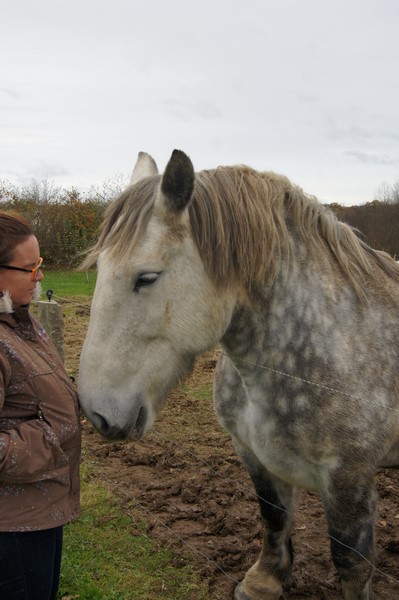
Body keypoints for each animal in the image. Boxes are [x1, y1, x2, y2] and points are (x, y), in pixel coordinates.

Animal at [77, 148, 399, 596]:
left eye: (147, 277)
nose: (96, 413)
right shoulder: (251, 453)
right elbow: (273, 516)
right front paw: (264, 581)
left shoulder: (348, 478)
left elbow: (351, 561)